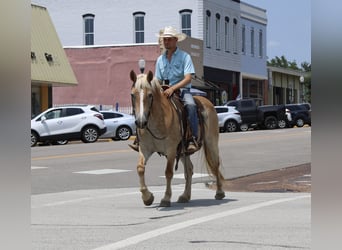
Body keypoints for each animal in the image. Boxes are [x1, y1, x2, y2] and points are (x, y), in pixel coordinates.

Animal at [130, 70, 226, 207]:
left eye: (150, 95)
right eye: (133, 95)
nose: (141, 122)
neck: (157, 121)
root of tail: (206, 101)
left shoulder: (171, 150)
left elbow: (168, 172)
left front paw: (166, 198)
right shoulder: (145, 149)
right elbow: (140, 168)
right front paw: (147, 197)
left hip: (211, 143)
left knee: (215, 164)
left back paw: (219, 192)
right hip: (183, 151)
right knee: (189, 170)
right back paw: (185, 196)